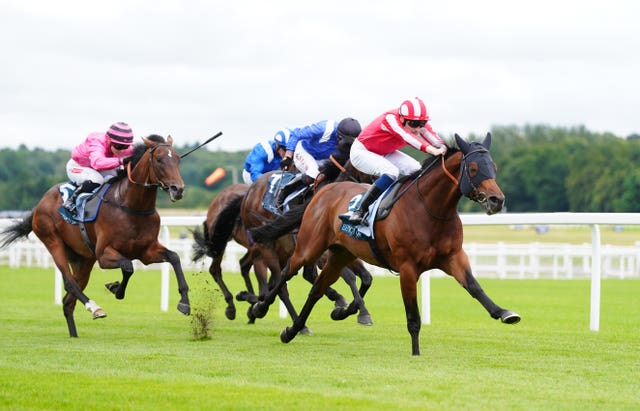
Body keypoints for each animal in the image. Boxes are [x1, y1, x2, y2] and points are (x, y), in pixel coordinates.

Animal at [0, 135, 190, 338]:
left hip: (83, 259)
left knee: (68, 301)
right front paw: (116, 288)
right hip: (53, 241)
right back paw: (95, 308)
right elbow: (128, 266)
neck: (131, 206)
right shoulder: (103, 255)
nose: (178, 189)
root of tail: (39, 204)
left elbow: (174, 257)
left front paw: (184, 303)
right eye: (160, 160)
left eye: (178, 159)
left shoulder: (146, 252)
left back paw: (74, 335)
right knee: (70, 284)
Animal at [250, 134, 520, 356]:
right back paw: (259, 309)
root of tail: (323, 191)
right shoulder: (408, 267)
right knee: (287, 272)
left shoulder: (453, 257)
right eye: (473, 168)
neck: (430, 210)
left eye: (493, 167)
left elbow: (474, 287)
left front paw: (505, 313)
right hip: (310, 246)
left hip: (341, 254)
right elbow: (413, 316)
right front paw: (415, 353)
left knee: (317, 289)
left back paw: (294, 330)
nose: (497, 200)